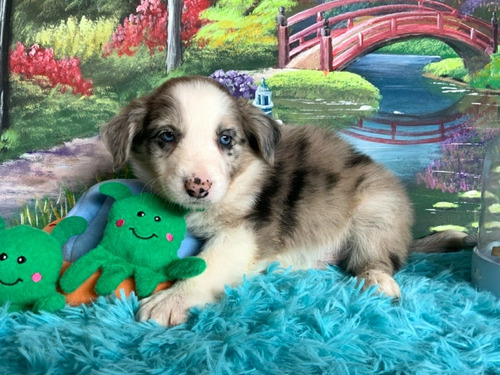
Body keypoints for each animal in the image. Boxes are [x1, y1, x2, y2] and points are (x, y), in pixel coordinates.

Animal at [100, 76, 468, 326]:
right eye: (167, 136)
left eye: (225, 139)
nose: (198, 187)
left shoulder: (246, 232)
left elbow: (208, 264)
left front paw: (170, 300)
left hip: (378, 210)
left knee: (377, 259)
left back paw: (376, 279)